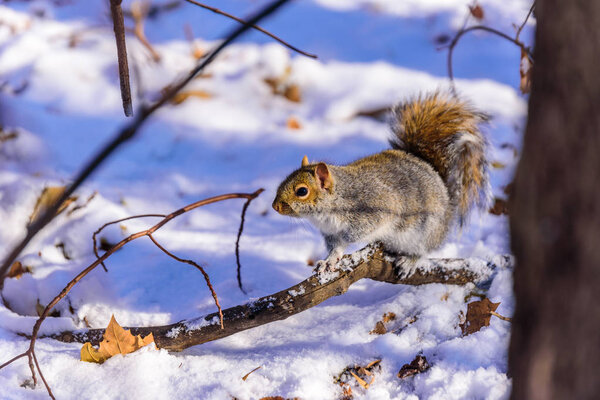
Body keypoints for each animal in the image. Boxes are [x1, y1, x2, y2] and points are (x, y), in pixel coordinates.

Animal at [274, 91, 490, 272]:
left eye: (302, 191)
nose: (275, 207)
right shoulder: (329, 233)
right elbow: (335, 247)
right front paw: (330, 259)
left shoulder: (375, 208)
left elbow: (354, 234)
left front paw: (345, 245)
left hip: (425, 232)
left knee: (423, 250)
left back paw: (410, 261)